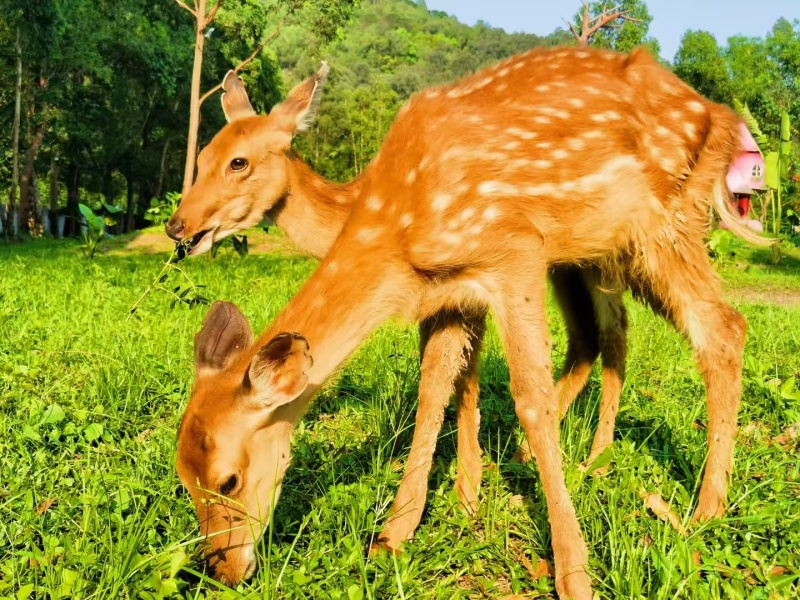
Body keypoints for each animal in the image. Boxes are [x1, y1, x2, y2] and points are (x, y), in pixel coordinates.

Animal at [171, 46, 768, 599]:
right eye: (183, 478)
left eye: (229, 478)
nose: (222, 569)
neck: (391, 220)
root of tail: (723, 117)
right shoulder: (452, 290)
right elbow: (439, 383)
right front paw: (402, 529)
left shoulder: (512, 251)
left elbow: (527, 398)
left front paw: (572, 572)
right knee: (610, 335)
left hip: (657, 228)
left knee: (718, 328)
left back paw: (700, 509)